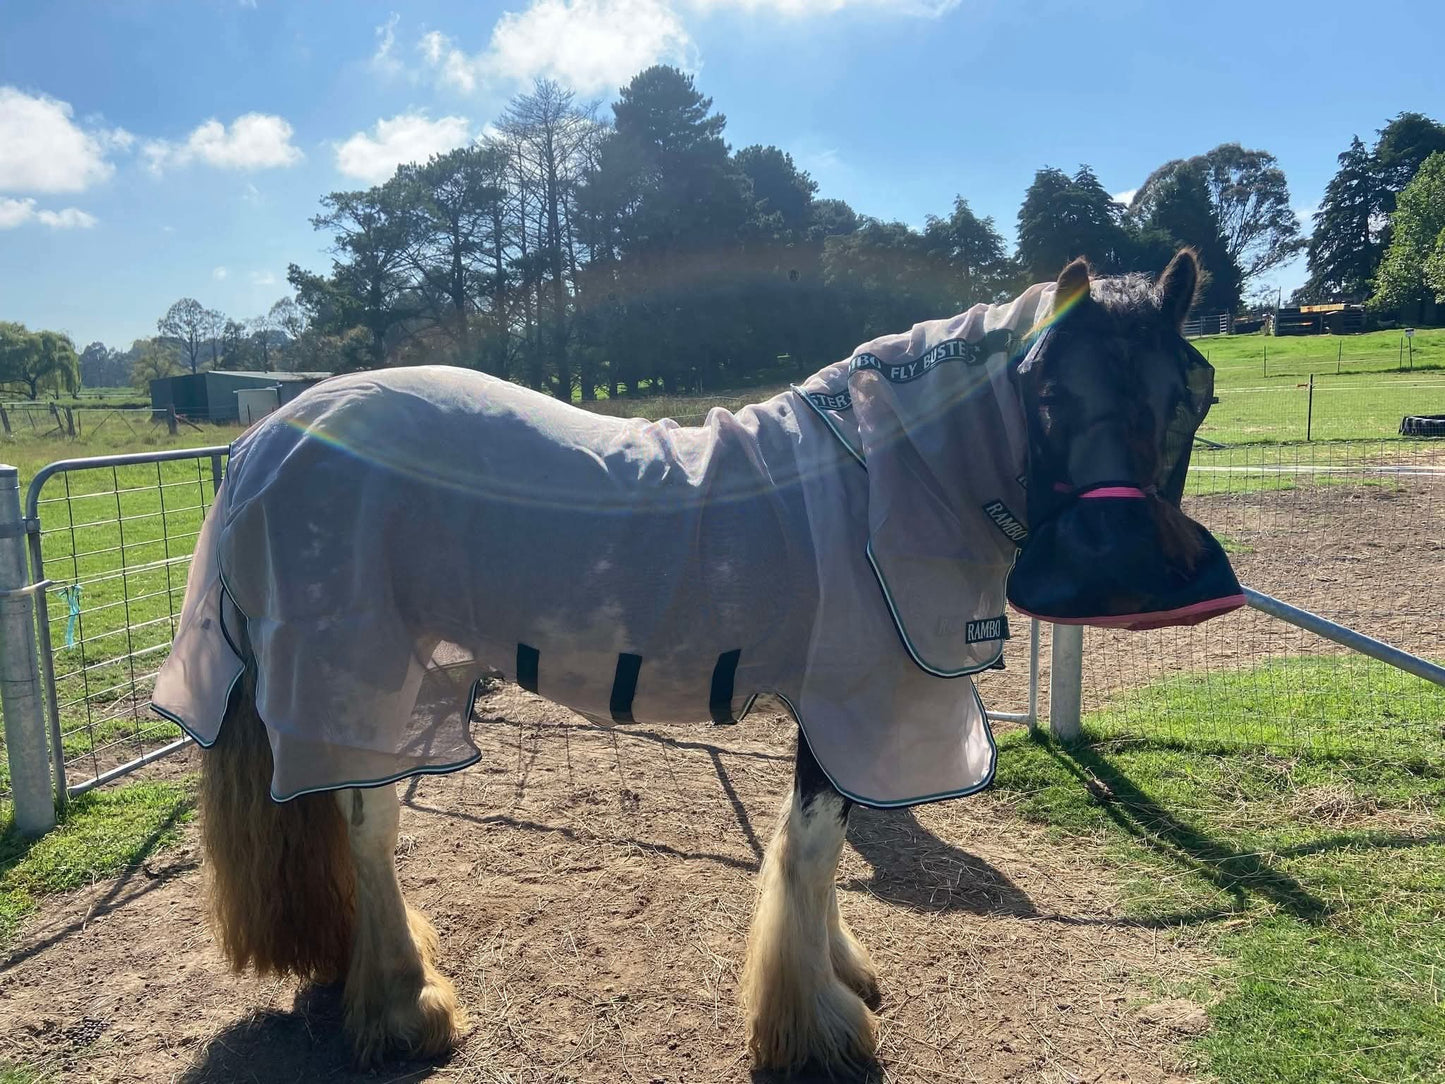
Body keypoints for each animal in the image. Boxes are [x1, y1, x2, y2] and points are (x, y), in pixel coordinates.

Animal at [152, 249, 1242, 1073]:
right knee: (366, 827)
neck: (876, 480)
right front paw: (818, 1028)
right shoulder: (846, 704)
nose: (1115, 570)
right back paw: (402, 1005)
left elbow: (828, 846)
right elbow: (809, 848)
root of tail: (268, 438)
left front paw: (840, 975)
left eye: (1191, 393)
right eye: (1045, 388)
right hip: (363, 676)